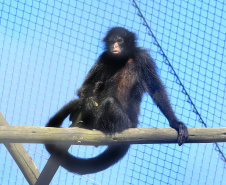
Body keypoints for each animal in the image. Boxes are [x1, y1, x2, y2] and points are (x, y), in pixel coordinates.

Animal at [44, 26, 189, 174]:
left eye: (119, 40)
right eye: (112, 41)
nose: (114, 46)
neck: (122, 59)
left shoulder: (143, 58)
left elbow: (156, 89)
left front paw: (176, 123)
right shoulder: (104, 57)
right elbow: (84, 87)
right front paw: (89, 100)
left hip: (125, 122)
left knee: (110, 102)